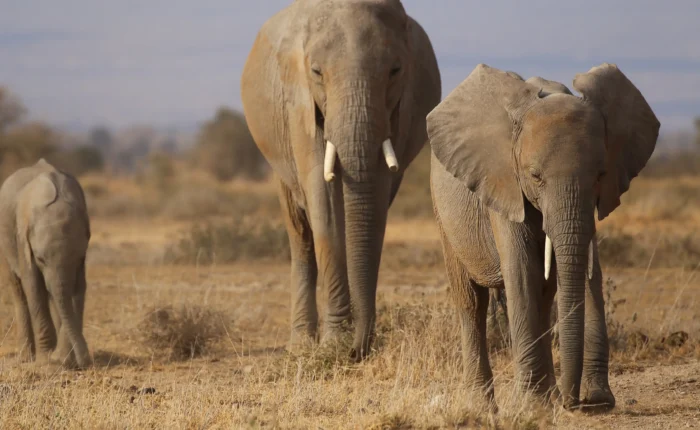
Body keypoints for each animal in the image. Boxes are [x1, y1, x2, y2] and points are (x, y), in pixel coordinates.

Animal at [0, 159, 92, 368]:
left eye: (78, 257)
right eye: (40, 259)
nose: (86, 362)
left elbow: (78, 289)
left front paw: (63, 359)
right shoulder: (23, 240)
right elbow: (33, 287)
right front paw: (46, 360)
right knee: (19, 290)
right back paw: (26, 357)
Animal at [240, 0, 441, 359]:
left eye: (395, 71)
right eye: (317, 72)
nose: (357, 351)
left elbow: (375, 199)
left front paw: (345, 341)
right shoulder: (299, 105)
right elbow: (323, 199)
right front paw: (334, 344)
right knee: (299, 230)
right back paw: (301, 344)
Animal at [427, 63, 659, 409]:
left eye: (600, 175)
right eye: (535, 176)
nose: (575, 402)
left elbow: (564, 274)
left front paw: (561, 402)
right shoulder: (504, 180)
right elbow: (522, 271)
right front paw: (530, 406)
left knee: (546, 292)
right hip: (443, 213)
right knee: (472, 301)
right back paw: (484, 407)